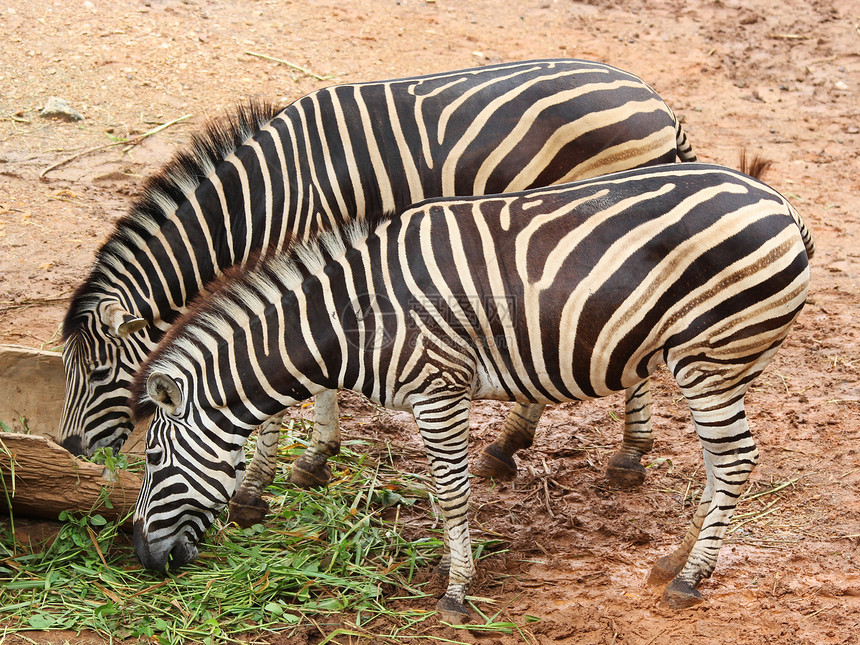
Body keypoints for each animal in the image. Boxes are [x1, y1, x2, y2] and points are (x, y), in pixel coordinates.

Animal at [60, 57, 696, 524]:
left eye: (98, 373)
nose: (69, 451)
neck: (259, 204)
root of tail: (653, 96)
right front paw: (315, 458)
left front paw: (259, 484)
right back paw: (510, 445)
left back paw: (627, 456)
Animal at [129, 161, 812, 620]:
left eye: (154, 459)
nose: (142, 559)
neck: (355, 318)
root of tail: (779, 203)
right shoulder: (429, 398)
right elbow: (440, 494)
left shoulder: (439, 390)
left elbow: (454, 496)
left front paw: (457, 592)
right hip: (715, 365)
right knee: (718, 464)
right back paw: (675, 560)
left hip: (711, 358)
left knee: (736, 461)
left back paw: (689, 580)